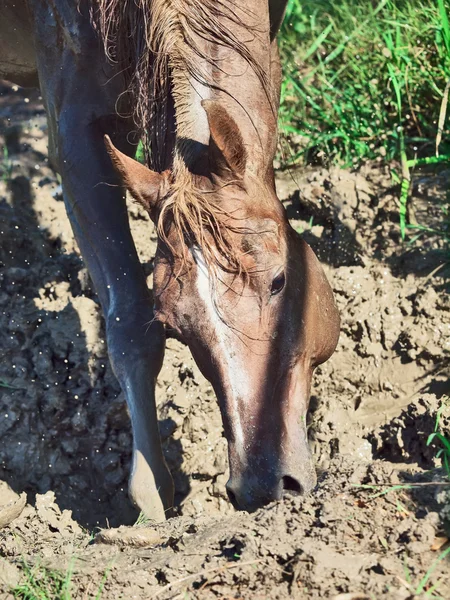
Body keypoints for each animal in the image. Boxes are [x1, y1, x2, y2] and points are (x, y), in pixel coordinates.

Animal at [0, 0, 338, 524]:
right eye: (174, 325)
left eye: (280, 281)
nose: (262, 484)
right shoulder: (73, 130)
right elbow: (128, 324)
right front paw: (151, 491)